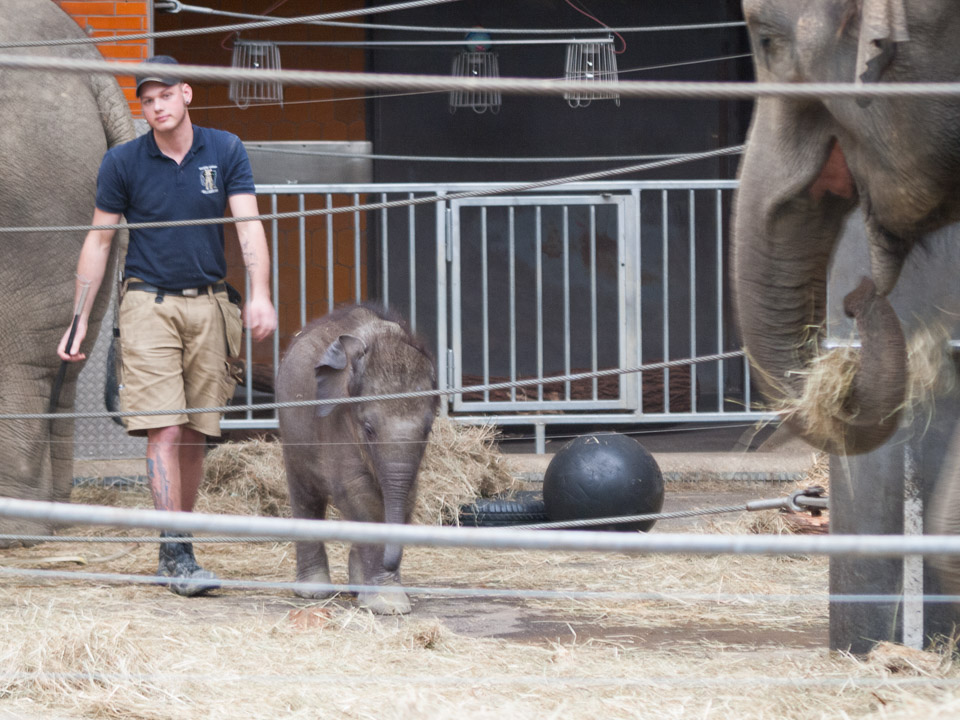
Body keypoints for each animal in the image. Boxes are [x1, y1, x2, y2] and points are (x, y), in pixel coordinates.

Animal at [274, 302, 438, 612]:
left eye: (428, 429)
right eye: (369, 429)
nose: (392, 562)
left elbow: (407, 496)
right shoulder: (336, 421)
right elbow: (359, 494)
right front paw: (389, 604)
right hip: (292, 429)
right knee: (306, 495)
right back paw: (313, 592)